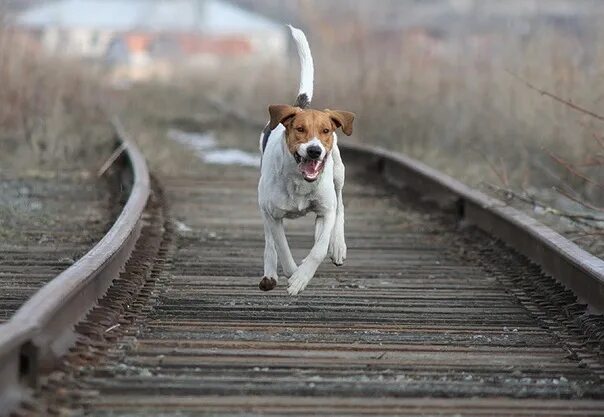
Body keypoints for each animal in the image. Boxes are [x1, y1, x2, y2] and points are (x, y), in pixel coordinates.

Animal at [258, 25, 354, 296]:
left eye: (325, 131)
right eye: (299, 129)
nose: (314, 151)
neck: (300, 181)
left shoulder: (326, 210)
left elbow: (319, 248)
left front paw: (302, 276)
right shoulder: (273, 214)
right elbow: (281, 245)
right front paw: (293, 274)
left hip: (338, 174)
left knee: (340, 206)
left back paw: (338, 246)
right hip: (263, 202)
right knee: (269, 241)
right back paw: (270, 273)